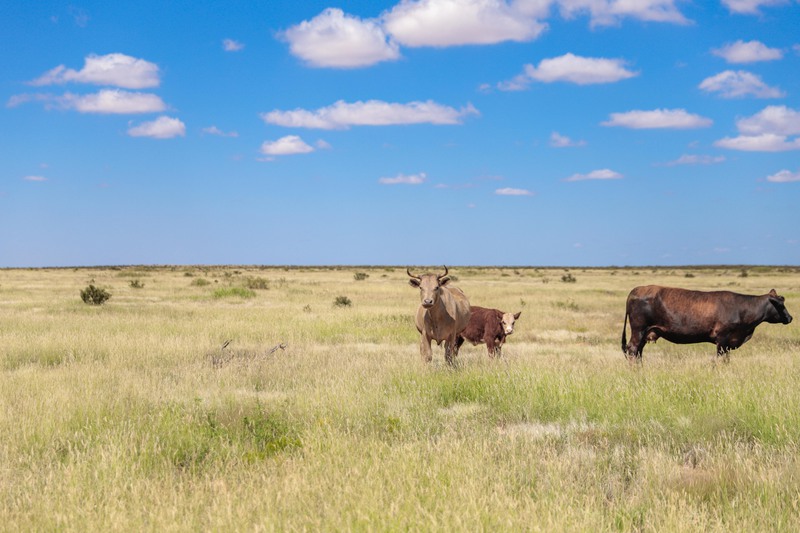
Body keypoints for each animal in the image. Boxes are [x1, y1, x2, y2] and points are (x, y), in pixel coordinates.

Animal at [620, 284, 792, 360]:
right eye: (780, 305)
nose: (790, 318)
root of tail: (636, 290)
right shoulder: (722, 339)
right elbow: (720, 360)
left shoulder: (728, 343)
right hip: (638, 330)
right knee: (633, 350)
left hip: (644, 333)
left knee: (638, 352)